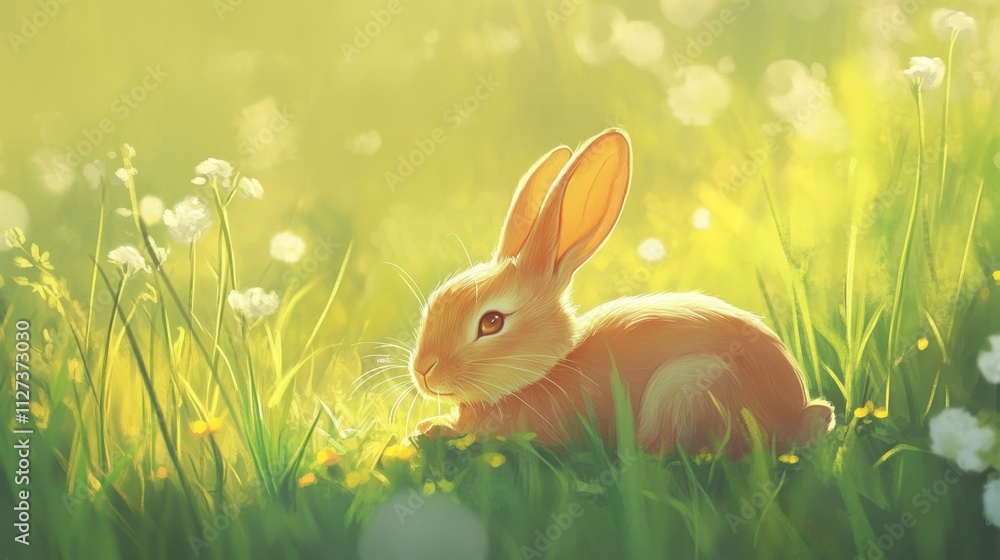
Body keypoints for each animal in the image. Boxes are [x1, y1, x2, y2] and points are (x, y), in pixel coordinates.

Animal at [407, 128, 835, 455]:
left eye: (492, 322)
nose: (423, 371)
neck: (546, 373)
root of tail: (796, 411)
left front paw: (435, 430)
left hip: (688, 384)